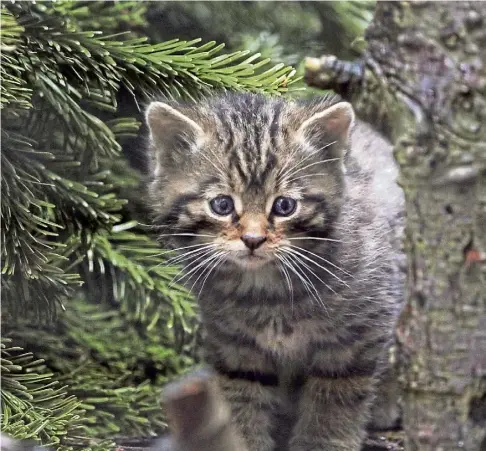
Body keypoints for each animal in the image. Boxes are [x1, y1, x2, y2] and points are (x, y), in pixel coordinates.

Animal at [146, 92, 404, 451]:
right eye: (222, 205)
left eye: (284, 206)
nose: (253, 240)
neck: (268, 293)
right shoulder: (233, 342)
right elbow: (242, 393)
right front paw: (242, 439)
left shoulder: (361, 328)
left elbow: (336, 393)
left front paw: (321, 442)